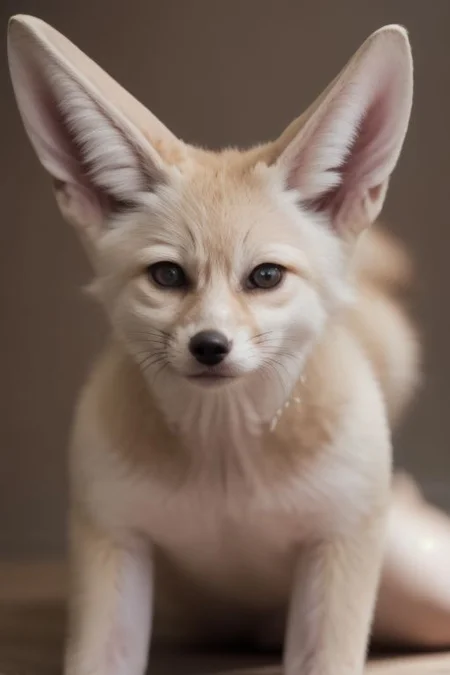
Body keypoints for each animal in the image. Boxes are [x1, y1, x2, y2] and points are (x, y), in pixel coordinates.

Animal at [8, 15, 427, 675]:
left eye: (265, 276)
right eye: (167, 276)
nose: (210, 346)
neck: (226, 463)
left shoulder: (340, 547)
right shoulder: (109, 539)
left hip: (414, 576)